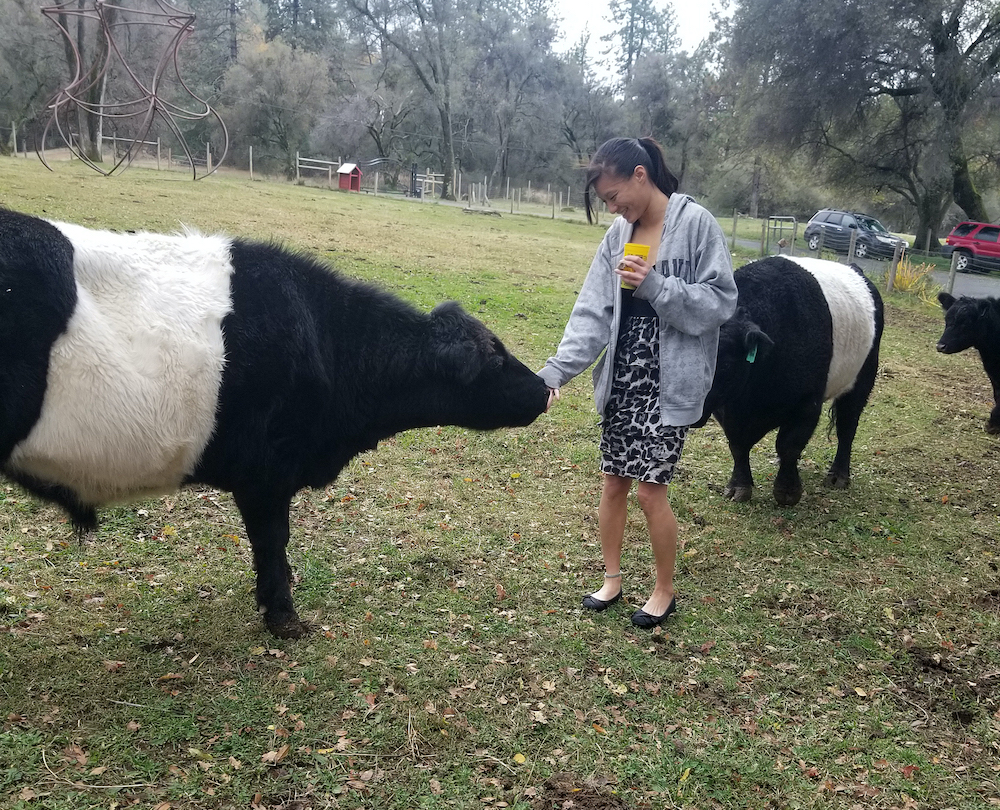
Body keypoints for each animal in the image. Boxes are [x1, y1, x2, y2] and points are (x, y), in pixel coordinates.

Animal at [696, 256, 884, 502]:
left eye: (725, 364)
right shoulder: (727, 409)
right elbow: (737, 446)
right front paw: (739, 487)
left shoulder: (807, 403)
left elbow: (788, 446)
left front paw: (787, 492)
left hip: (862, 379)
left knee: (847, 427)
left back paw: (838, 476)